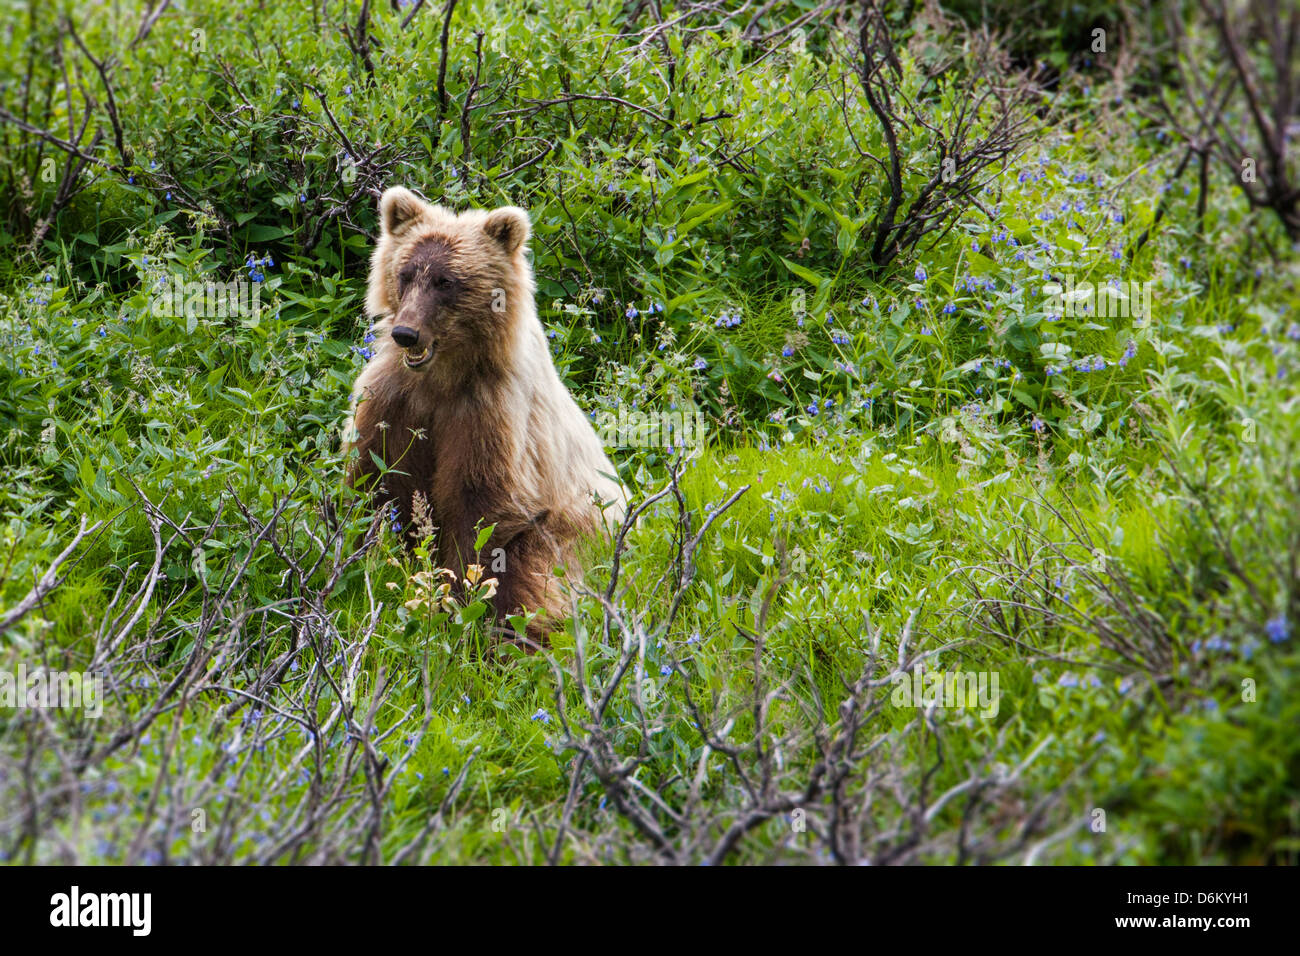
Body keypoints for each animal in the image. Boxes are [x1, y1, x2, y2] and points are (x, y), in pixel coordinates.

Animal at [344, 186, 627, 649]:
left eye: (446, 282)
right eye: (405, 273)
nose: (406, 333)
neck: (443, 376)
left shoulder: (490, 413)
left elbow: (480, 507)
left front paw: (457, 600)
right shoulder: (396, 401)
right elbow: (379, 481)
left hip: (575, 532)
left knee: (536, 582)